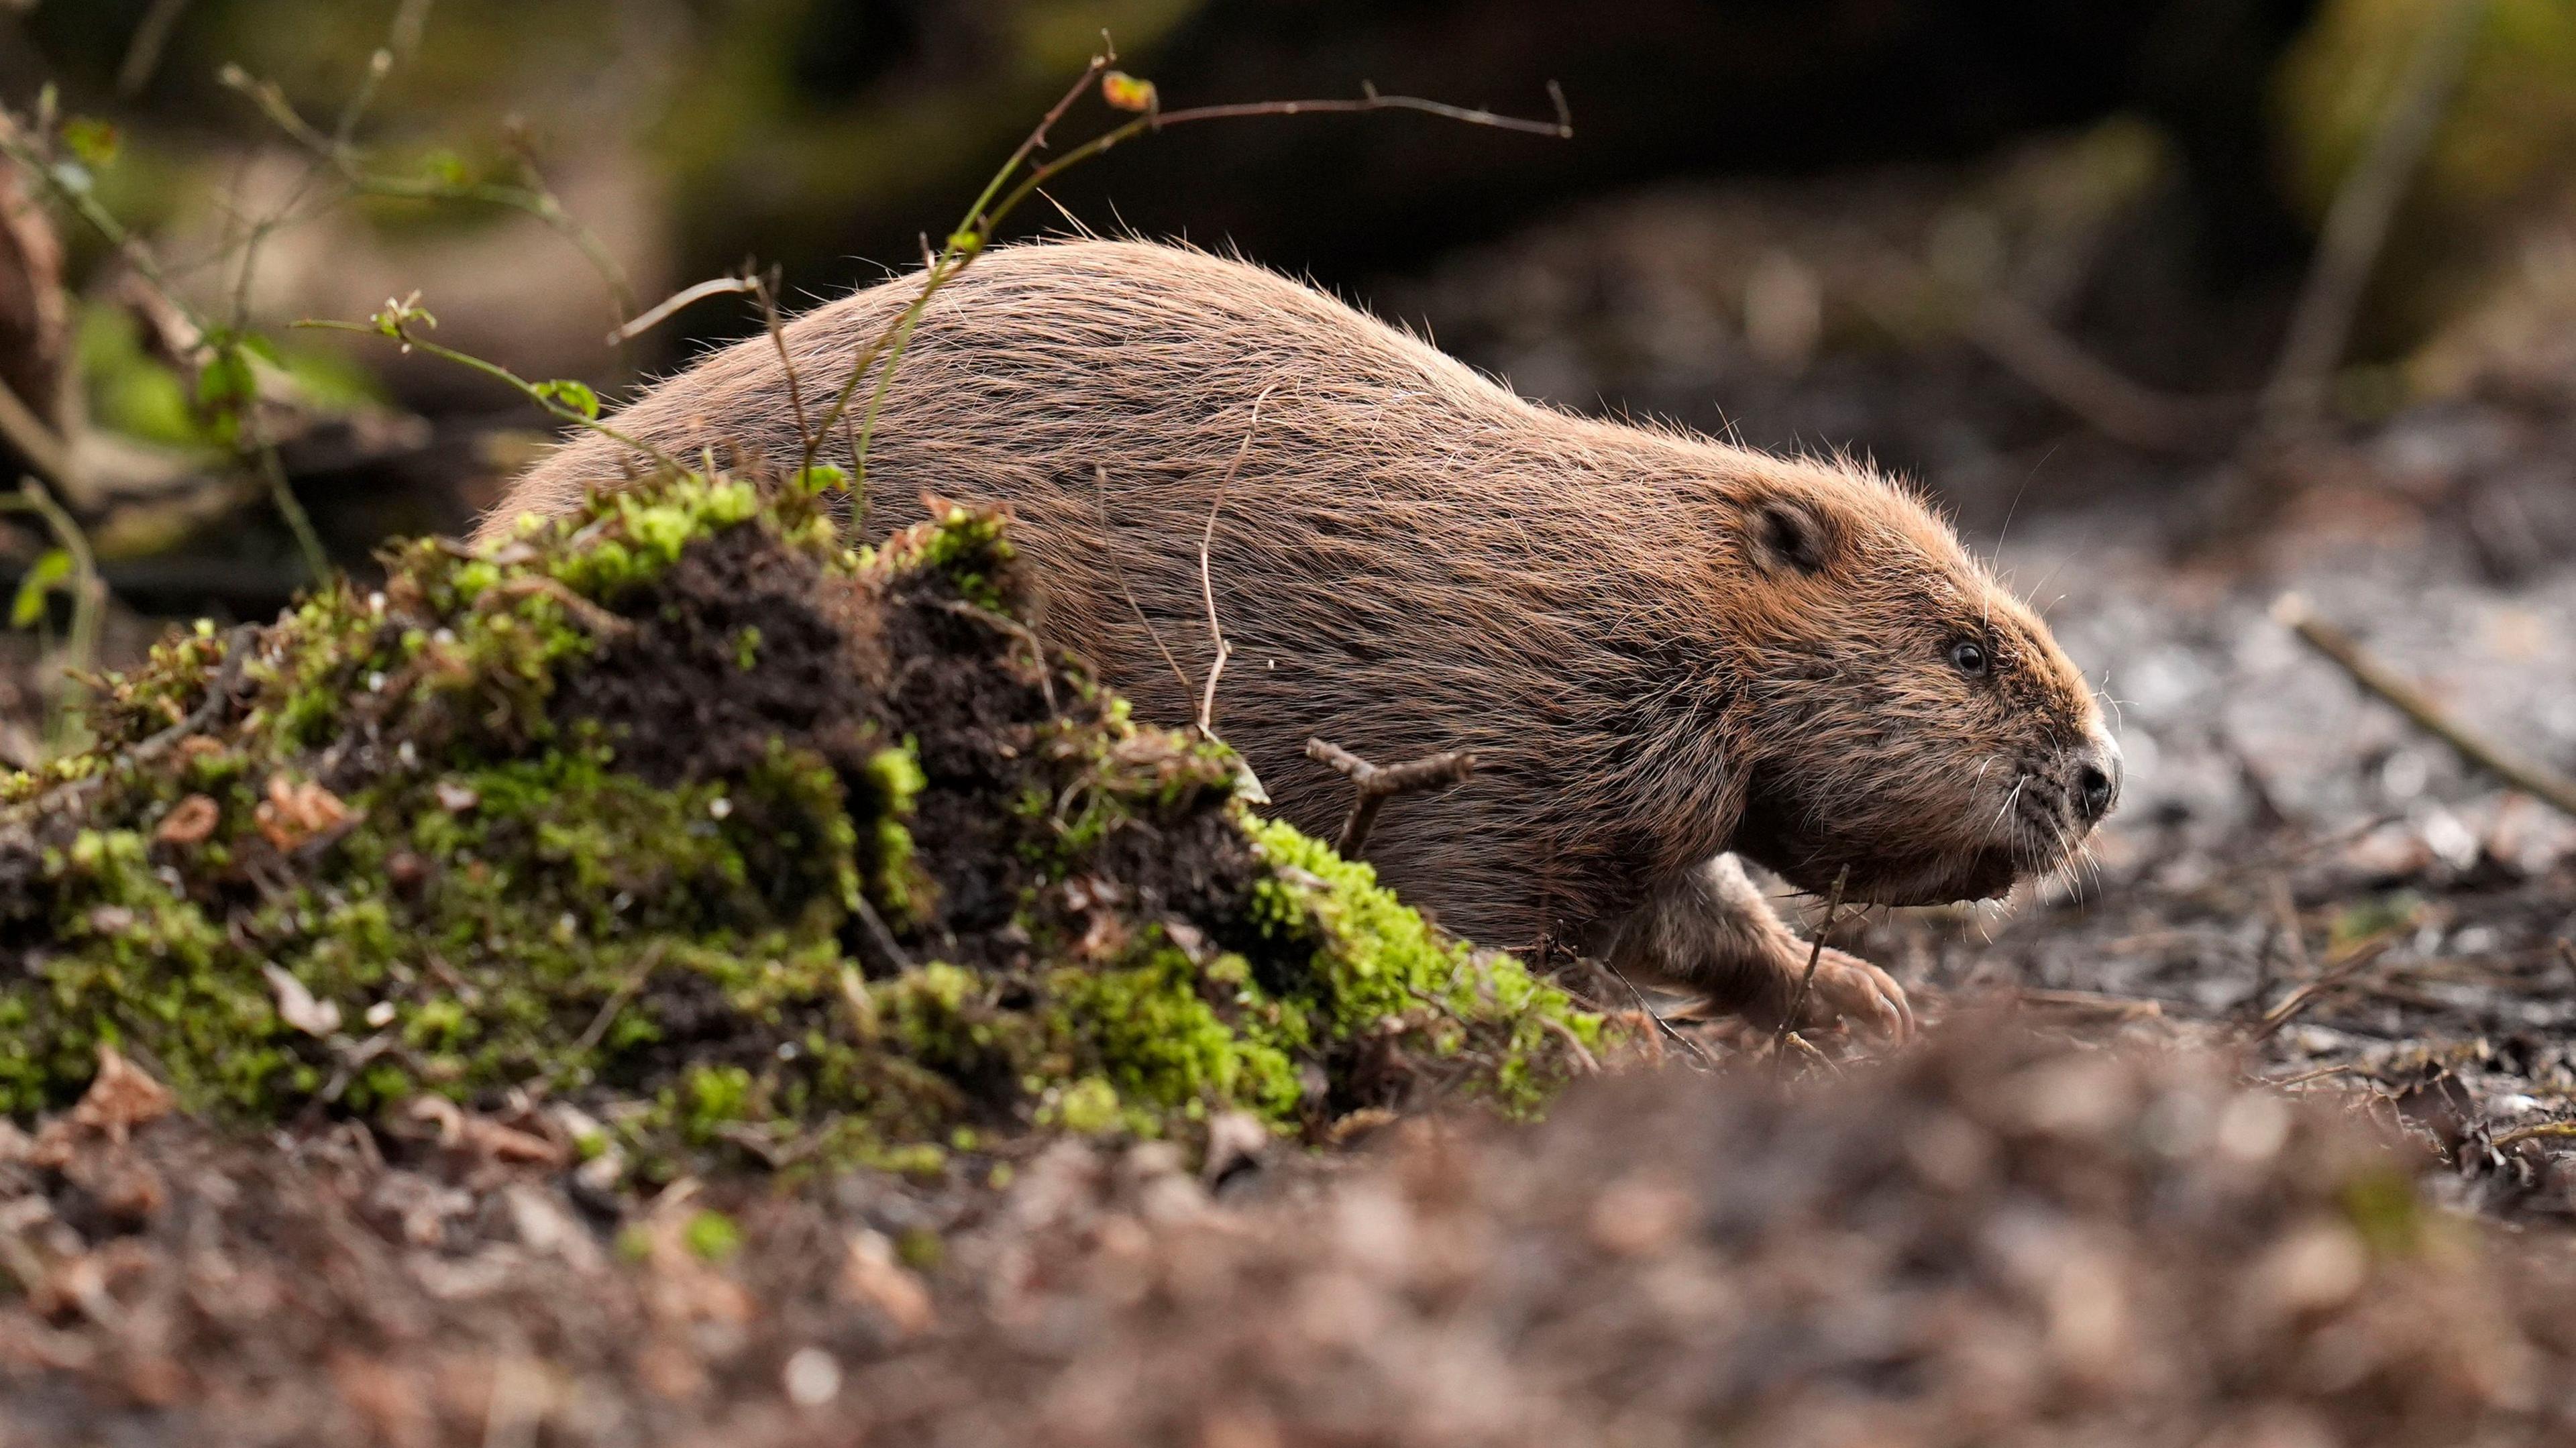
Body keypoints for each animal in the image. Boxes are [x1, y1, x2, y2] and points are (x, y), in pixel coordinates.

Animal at [484, 244, 2112, 1036]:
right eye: (1968, 650)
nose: (2101, 774)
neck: (1640, 588)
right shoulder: (1515, 737)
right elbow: (1485, 911)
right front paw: (1591, 1032)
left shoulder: (1642, 793)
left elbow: (1696, 909)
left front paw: (1869, 998)